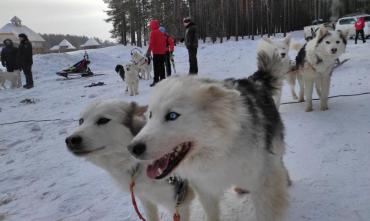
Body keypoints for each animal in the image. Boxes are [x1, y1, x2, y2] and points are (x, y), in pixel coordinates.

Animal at [65, 100, 195, 221]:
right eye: (81, 121)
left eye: (103, 120)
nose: (71, 140)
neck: (140, 164)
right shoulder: (146, 199)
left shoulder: (179, 205)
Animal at [129, 47, 290, 220]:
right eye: (150, 115)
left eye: (172, 115)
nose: (132, 148)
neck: (222, 148)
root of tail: (254, 80)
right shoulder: (205, 190)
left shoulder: (264, 187)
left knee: (280, 161)